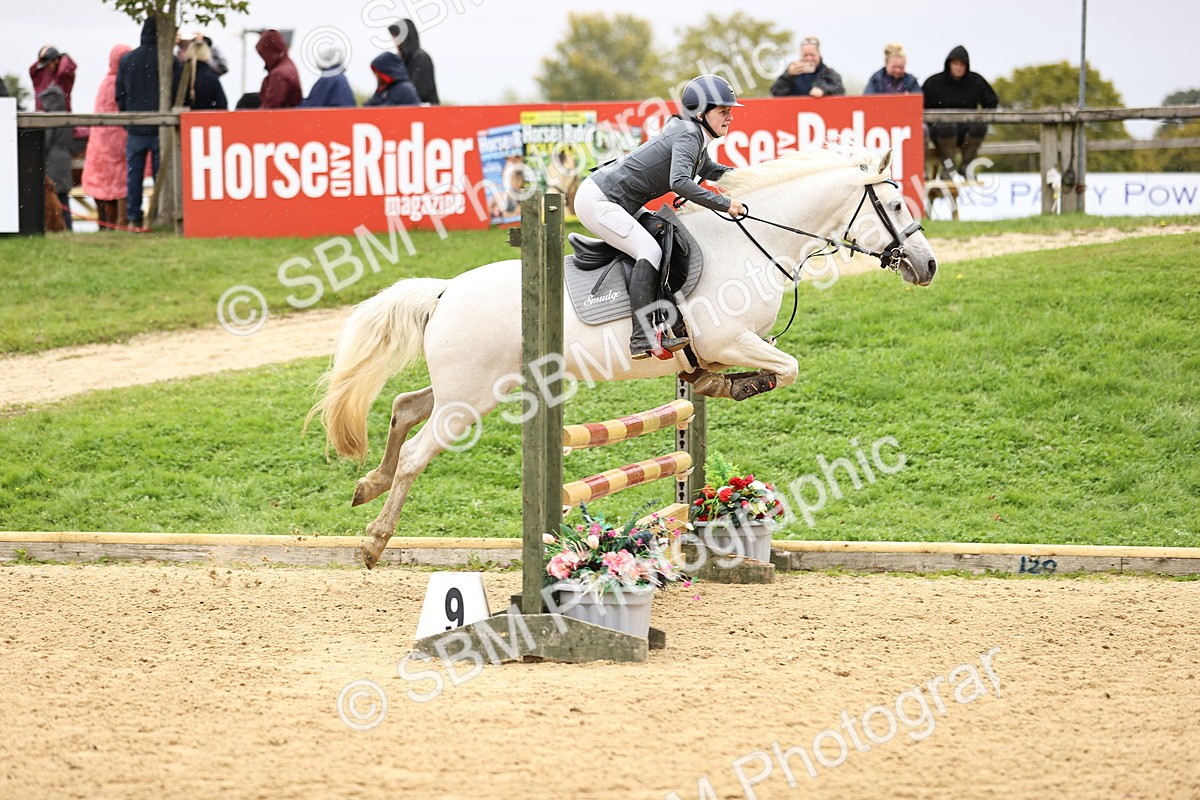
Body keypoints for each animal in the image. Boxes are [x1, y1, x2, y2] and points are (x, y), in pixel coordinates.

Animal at [307, 148, 938, 567]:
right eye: (896, 201)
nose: (927, 265)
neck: (750, 243)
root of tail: (445, 292)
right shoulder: (727, 339)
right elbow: (785, 370)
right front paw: (728, 386)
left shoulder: (728, 345)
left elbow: (751, 373)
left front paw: (710, 386)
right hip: (471, 398)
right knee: (418, 451)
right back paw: (374, 540)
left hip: (471, 388)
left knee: (405, 407)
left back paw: (368, 484)